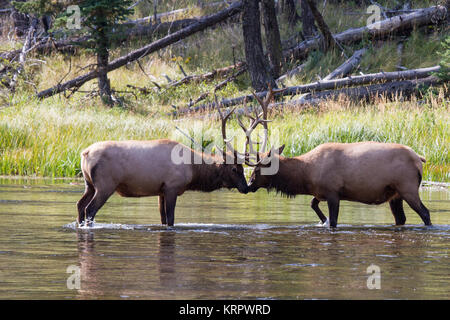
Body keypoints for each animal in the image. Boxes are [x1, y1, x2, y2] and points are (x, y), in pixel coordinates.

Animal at [77, 107, 246, 228]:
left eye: (243, 168)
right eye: (234, 169)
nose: (246, 187)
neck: (193, 170)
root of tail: (85, 153)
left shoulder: (161, 191)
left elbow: (163, 219)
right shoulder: (172, 187)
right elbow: (170, 219)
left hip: (89, 184)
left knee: (80, 205)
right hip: (105, 185)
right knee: (89, 209)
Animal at [241, 86, 430, 229]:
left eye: (258, 169)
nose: (249, 185)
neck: (306, 176)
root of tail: (419, 159)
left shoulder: (333, 192)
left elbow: (333, 222)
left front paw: (326, 221)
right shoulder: (320, 192)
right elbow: (312, 204)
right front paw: (322, 220)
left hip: (408, 187)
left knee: (425, 213)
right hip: (395, 194)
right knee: (401, 218)